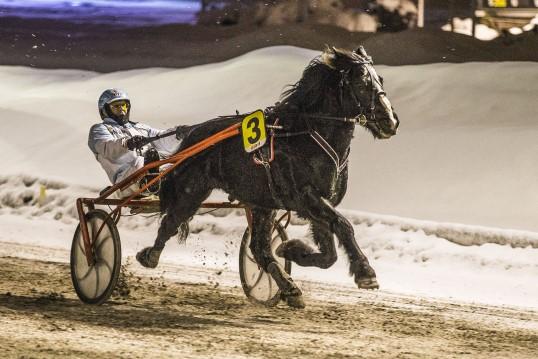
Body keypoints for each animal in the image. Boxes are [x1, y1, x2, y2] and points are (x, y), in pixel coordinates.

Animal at [136, 45, 398, 310]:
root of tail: (191, 136)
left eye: (380, 79)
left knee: (259, 249)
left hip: (262, 204)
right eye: (362, 83)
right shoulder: (306, 197)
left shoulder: (319, 202)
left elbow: (329, 254)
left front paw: (291, 250)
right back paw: (150, 256)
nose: (390, 122)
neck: (305, 135)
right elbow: (344, 226)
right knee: (170, 222)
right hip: (192, 191)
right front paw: (365, 273)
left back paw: (289, 288)